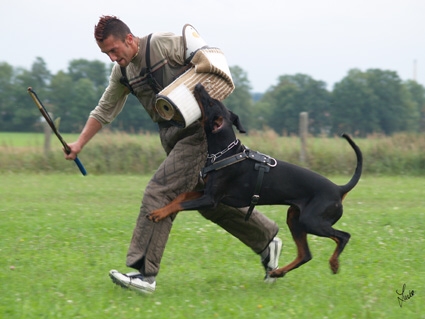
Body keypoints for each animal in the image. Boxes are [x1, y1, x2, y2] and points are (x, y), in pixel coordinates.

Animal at [148, 84, 362, 278]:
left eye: (210, 103)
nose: (200, 85)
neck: (224, 152)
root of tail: (339, 189)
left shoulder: (211, 199)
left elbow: (181, 204)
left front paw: (158, 213)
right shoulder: (206, 192)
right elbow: (181, 197)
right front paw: (162, 209)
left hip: (312, 221)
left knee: (344, 236)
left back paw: (334, 263)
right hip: (294, 218)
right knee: (305, 254)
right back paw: (278, 272)